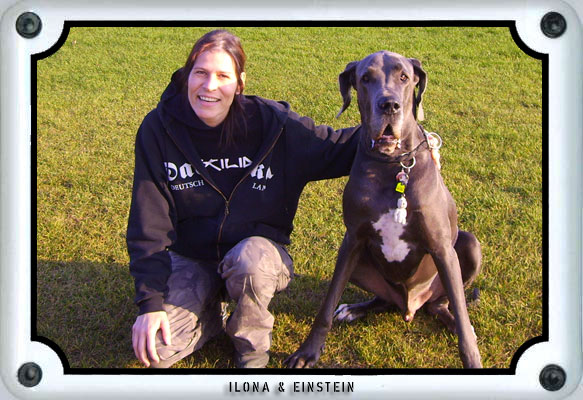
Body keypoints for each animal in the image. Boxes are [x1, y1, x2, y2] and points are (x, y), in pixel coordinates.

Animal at [285, 51, 482, 368]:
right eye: (365, 78)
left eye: (404, 77)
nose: (389, 105)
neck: (393, 165)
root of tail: (410, 305)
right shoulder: (352, 240)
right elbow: (327, 304)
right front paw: (308, 352)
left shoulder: (441, 248)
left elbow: (464, 321)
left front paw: (472, 357)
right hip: (360, 264)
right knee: (384, 300)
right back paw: (355, 309)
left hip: (468, 247)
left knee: (443, 305)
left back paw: (448, 318)